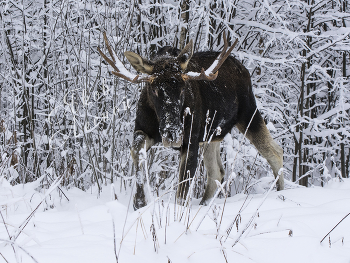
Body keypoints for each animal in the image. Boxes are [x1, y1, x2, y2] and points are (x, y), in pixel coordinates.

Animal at [97, 33, 284, 210]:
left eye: (183, 87)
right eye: (154, 88)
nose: (172, 133)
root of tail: (244, 68)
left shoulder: (191, 139)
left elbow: (183, 189)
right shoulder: (144, 129)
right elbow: (136, 150)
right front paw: (139, 201)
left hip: (248, 113)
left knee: (274, 151)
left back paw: (280, 193)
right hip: (211, 136)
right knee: (217, 171)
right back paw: (204, 204)